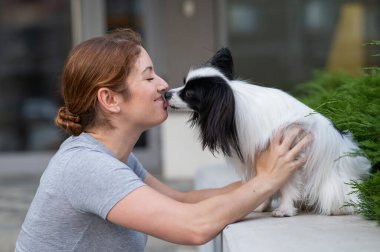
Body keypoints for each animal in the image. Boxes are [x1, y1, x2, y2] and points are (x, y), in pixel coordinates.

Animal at [164, 47, 372, 217]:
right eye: (183, 84)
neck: (235, 105)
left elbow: (287, 186)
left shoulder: (292, 155)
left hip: (331, 183)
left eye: (189, 94)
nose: (166, 93)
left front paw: (285, 210)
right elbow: (265, 184)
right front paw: (262, 206)